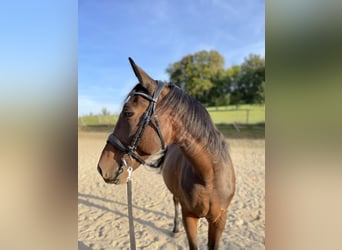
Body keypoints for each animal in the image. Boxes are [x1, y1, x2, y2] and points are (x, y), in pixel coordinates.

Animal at [97, 58, 235, 248]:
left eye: (128, 112)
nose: (101, 167)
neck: (209, 176)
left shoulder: (219, 219)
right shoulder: (189, 216)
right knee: (175, 201)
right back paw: (175, 229)